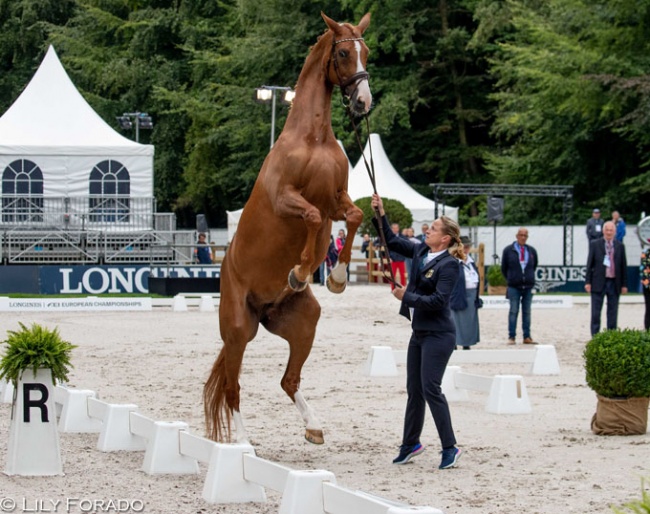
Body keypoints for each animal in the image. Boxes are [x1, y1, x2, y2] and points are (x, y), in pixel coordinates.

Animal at [205, 13, 372, 444]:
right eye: (343, 53)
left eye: (366, 51)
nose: (363, 102)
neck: (312, 138)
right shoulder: (288, 199)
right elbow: (311, 218)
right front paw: (299, 271)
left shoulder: (336, 197)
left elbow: (353, 218)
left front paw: (338, 277)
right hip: (237, 330)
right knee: (233, 386)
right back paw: (243, 444)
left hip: (303, 323)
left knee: (288, 380)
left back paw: (313, 426)